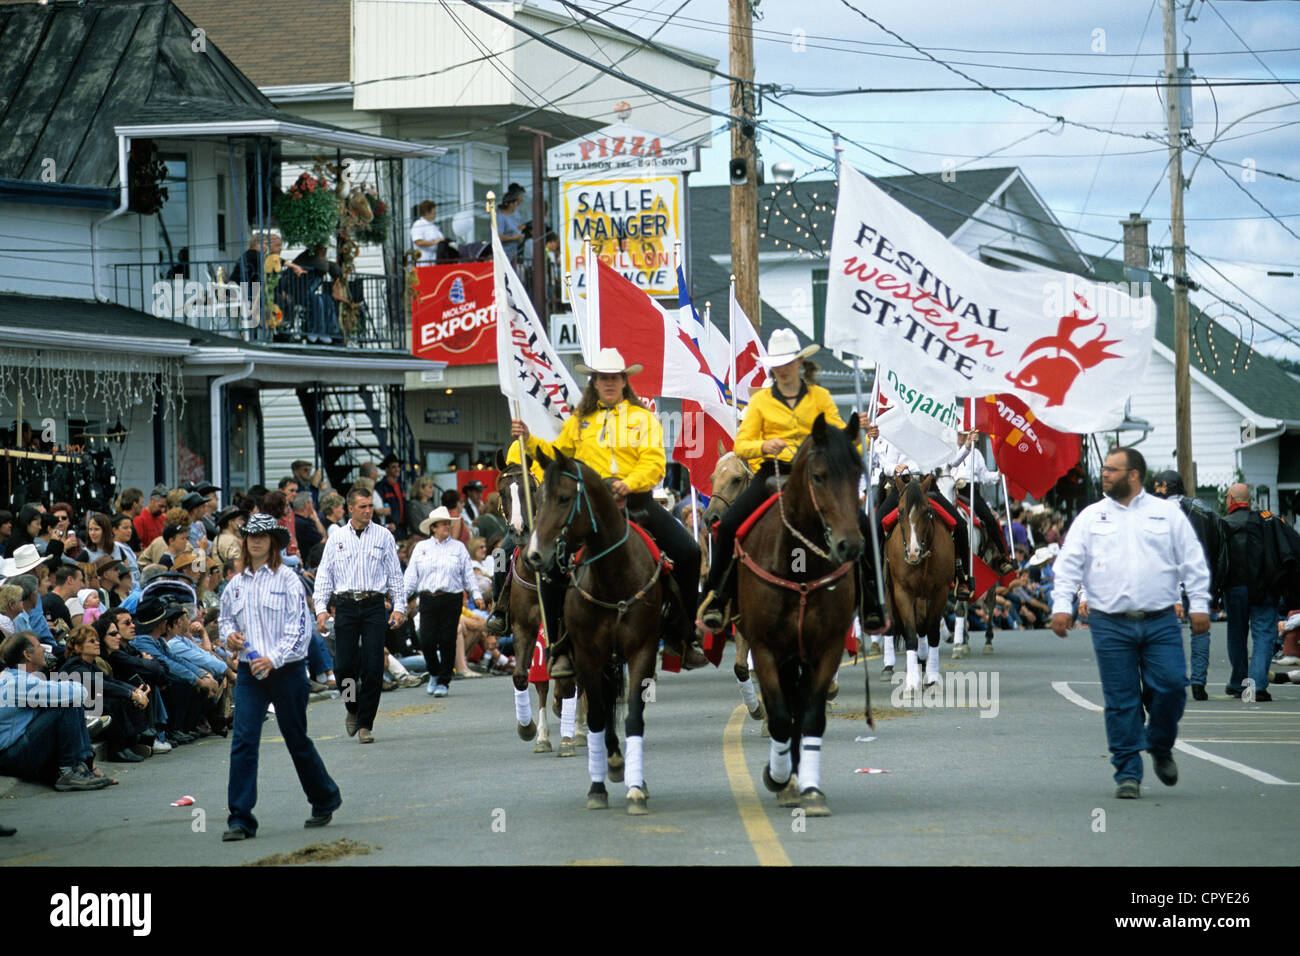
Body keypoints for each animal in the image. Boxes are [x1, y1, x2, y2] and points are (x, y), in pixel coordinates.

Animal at [525, 450, 670, 816]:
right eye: (538, 498)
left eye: (564, 498)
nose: (535, 555)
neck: (613, 575)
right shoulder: (588, 656)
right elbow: (597, 717)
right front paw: (598, 786)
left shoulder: (642, 651)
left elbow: (633, 717)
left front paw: (636, 788)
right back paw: (613, 761)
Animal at [733, 411, 863, 816]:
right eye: (819, 476)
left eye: (859, 474)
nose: (850, 546)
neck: (799, 567)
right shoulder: (765, 648)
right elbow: (778, 716)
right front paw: (777, 777)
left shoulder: (827, 648)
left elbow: (810, 717)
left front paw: (810, 790)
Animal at [883, 476, 956, 697]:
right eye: (899, 512)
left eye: (926, 511)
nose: (913, 553)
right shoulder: (902, 592)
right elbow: (910, 634)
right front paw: (911, 683)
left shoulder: (940, 591)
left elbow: (932, 632)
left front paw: (931, 677)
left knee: (923, 626)